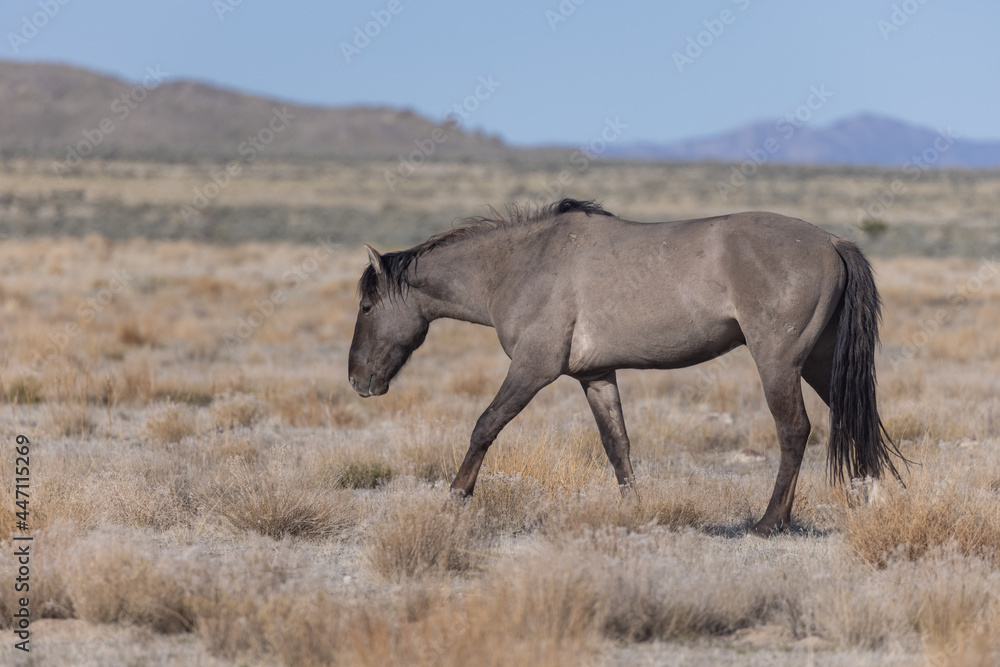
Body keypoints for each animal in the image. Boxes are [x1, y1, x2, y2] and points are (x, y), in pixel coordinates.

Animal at [348, 198, 904, 536]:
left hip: (779, 363)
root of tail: (832, 242)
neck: (519, 266)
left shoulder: (533, 369)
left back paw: (771, 522)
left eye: (367, 307)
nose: (357, 381)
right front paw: (635, 511)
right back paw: (871, 500)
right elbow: (617, 444)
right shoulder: (595, 376)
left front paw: (456, 497)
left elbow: (485, 426)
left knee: (794, 431)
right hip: (820, 362)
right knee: (858, 418)